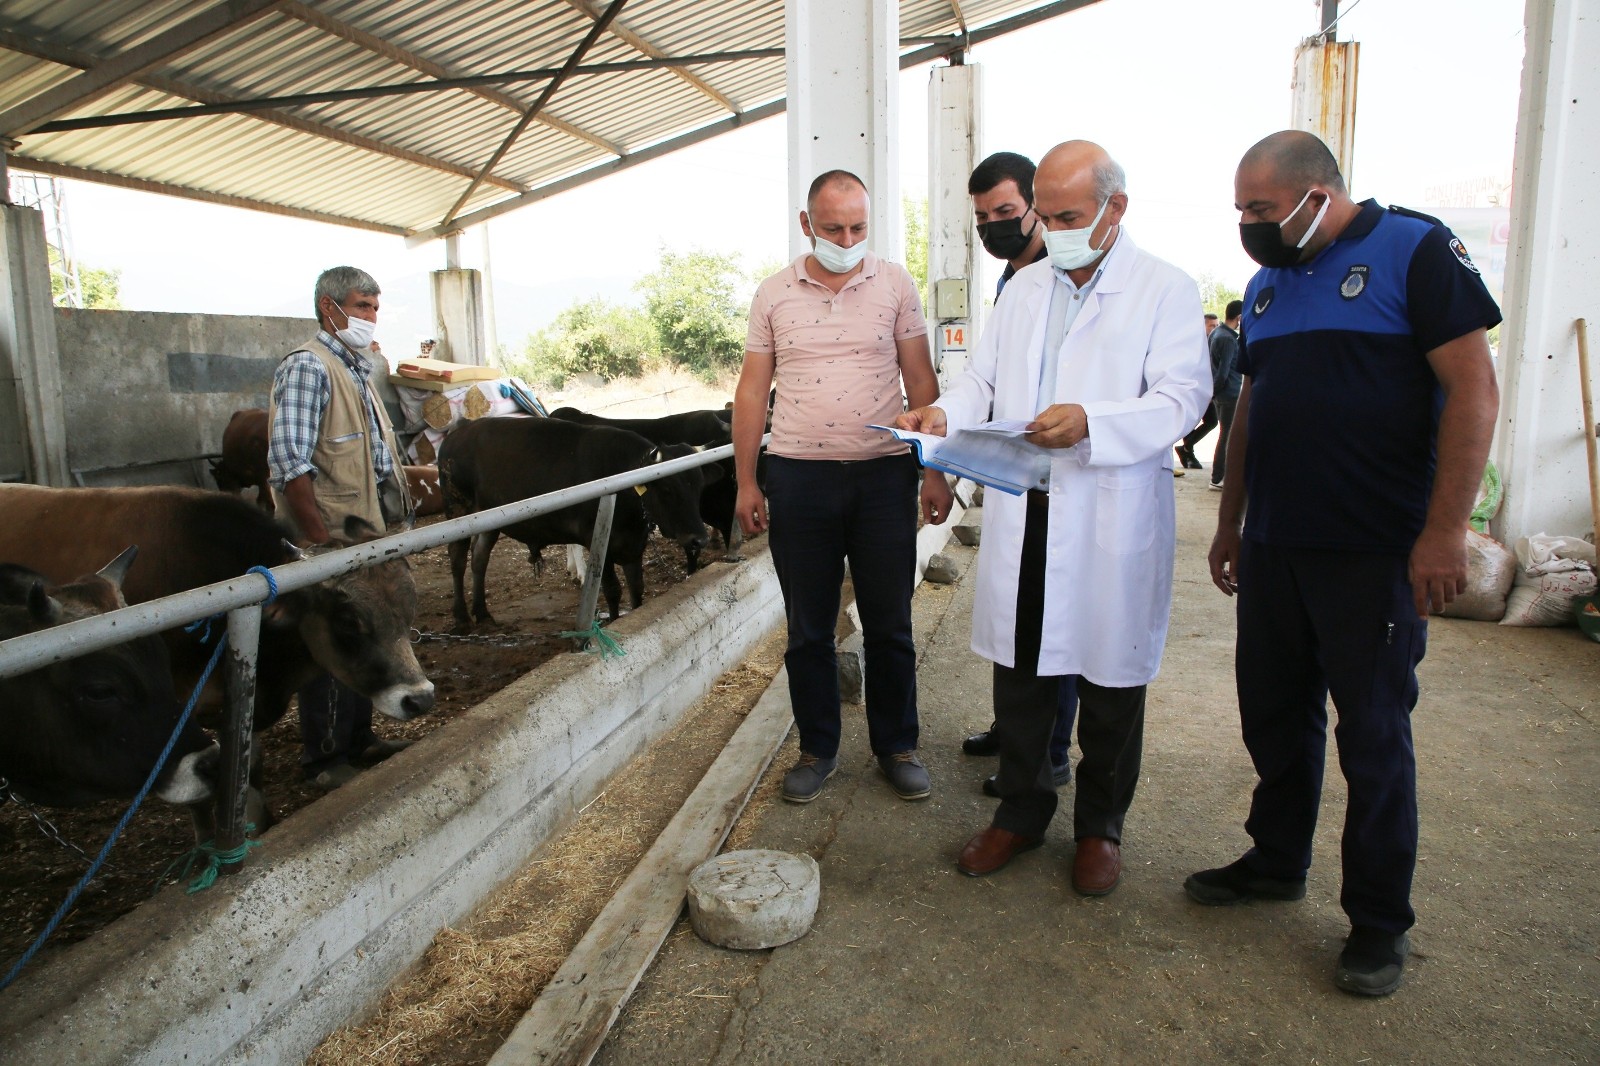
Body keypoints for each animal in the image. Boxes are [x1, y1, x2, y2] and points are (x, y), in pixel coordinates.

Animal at [438, 416, 713, 630]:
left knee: (479, 558)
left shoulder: (633, 547)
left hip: (487, 521)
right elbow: (613, 590)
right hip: (457, 512)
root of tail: (460, 429)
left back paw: (483, 613)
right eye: (667, 488)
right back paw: (462, 617)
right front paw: (615, 621)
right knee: (458, 559)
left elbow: (637, 588)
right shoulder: (599, 544)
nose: (699, 539)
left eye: (699, 486)